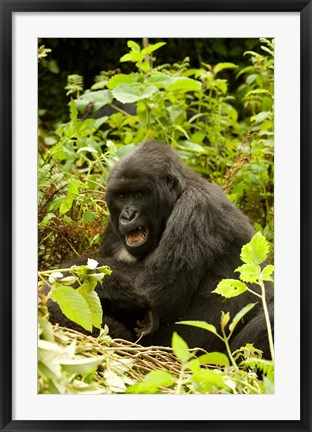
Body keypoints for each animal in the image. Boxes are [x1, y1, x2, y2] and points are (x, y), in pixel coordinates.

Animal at [46, 141, 272, 358]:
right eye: (121, 196)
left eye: (139, 194)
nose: (128, 216)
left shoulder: (197, 208)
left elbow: (156, 288)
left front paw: (63, 276)